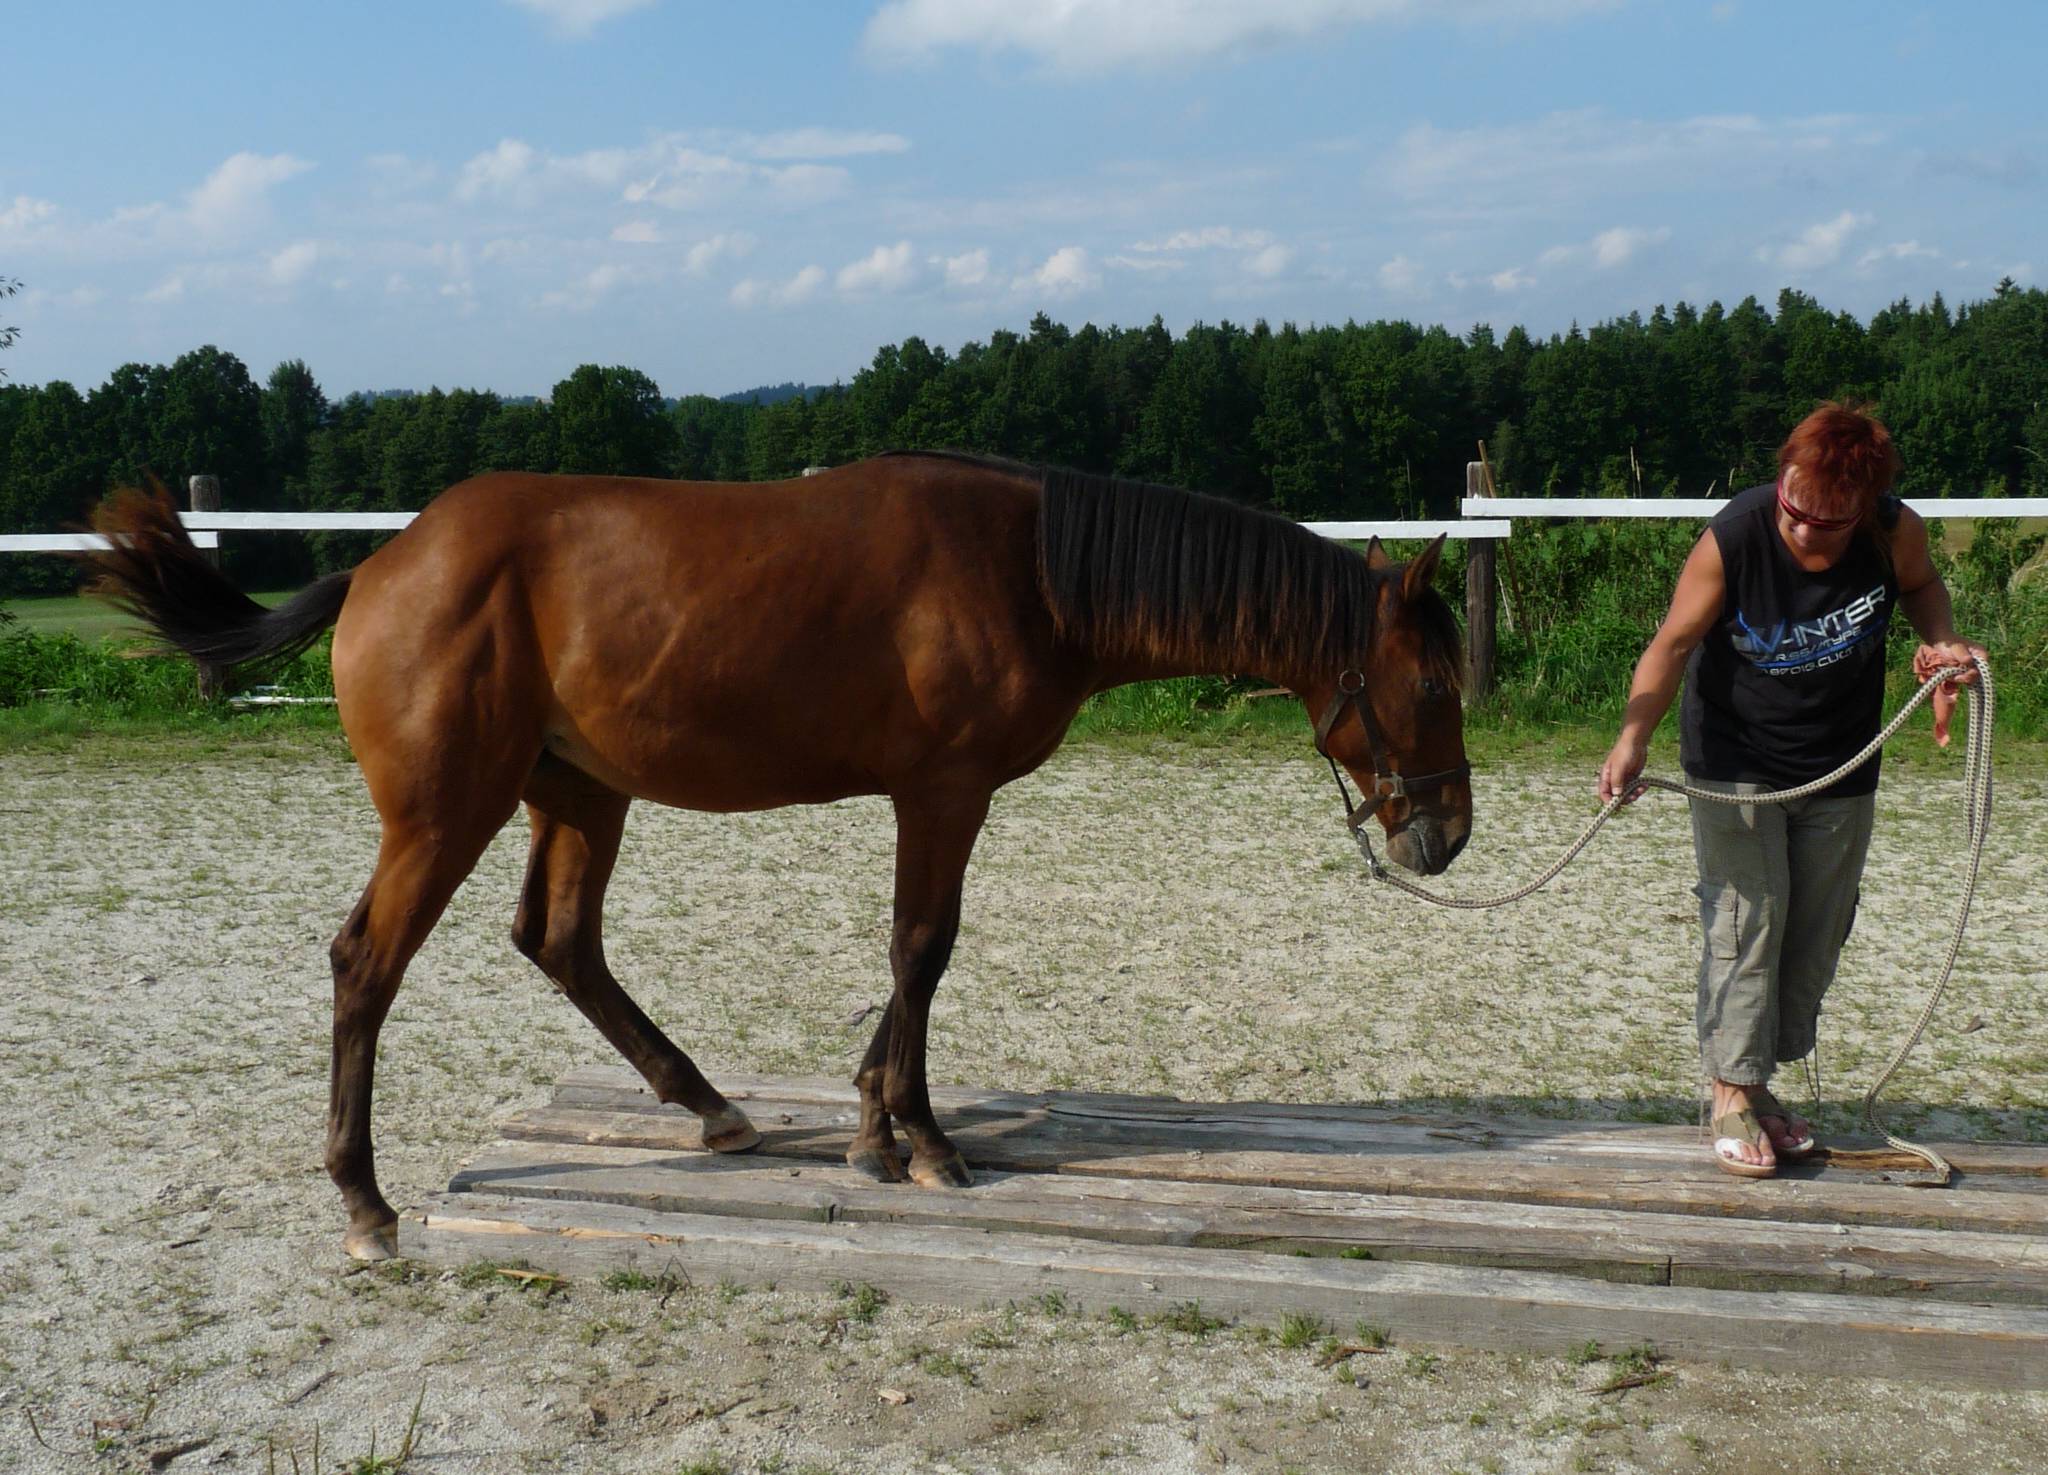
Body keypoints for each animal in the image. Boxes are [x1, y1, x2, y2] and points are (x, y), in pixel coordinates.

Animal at [92, 448, 1474, 1253]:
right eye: (1431, 682)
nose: (1446, 831)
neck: (1025, 568)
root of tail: (388, 559)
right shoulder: (942, 793)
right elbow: (922, 947)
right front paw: (918, 1136)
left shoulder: (931, 798)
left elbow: (910, 960)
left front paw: (867, 1119)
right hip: (447, 812)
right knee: (365, 965)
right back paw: (366, 1200)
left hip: (578, 792)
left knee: (560, 941)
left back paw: (709, 1105)